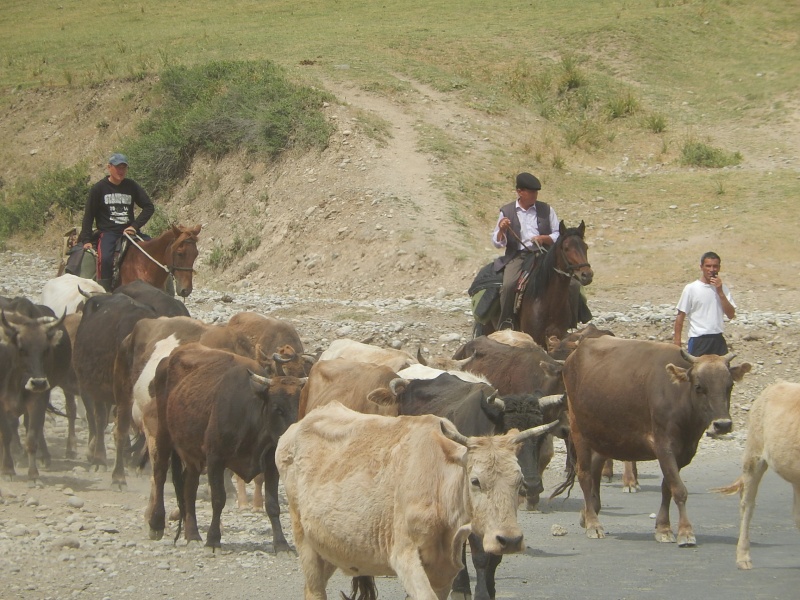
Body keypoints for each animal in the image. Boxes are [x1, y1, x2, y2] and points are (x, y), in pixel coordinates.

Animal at [478, 221, 592, 350]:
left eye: (585, 247)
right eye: (566, 248)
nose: (587, 275)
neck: (547, 302)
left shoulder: (558, 336)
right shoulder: (536, 338)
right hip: (488, 329)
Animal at [564, 338, 752, 548]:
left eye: (729, 386)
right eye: (699, 386)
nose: (723, 425)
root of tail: (577, 351)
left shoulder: (683, 453)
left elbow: (667, 487)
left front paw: (663, 527)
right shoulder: (664, 446)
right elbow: (678, 489)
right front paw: (685, 532)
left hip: (605, 436)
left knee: (596, 467)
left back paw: (588, 513)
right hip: (579, 431)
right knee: (585, 474)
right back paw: (593, 523)